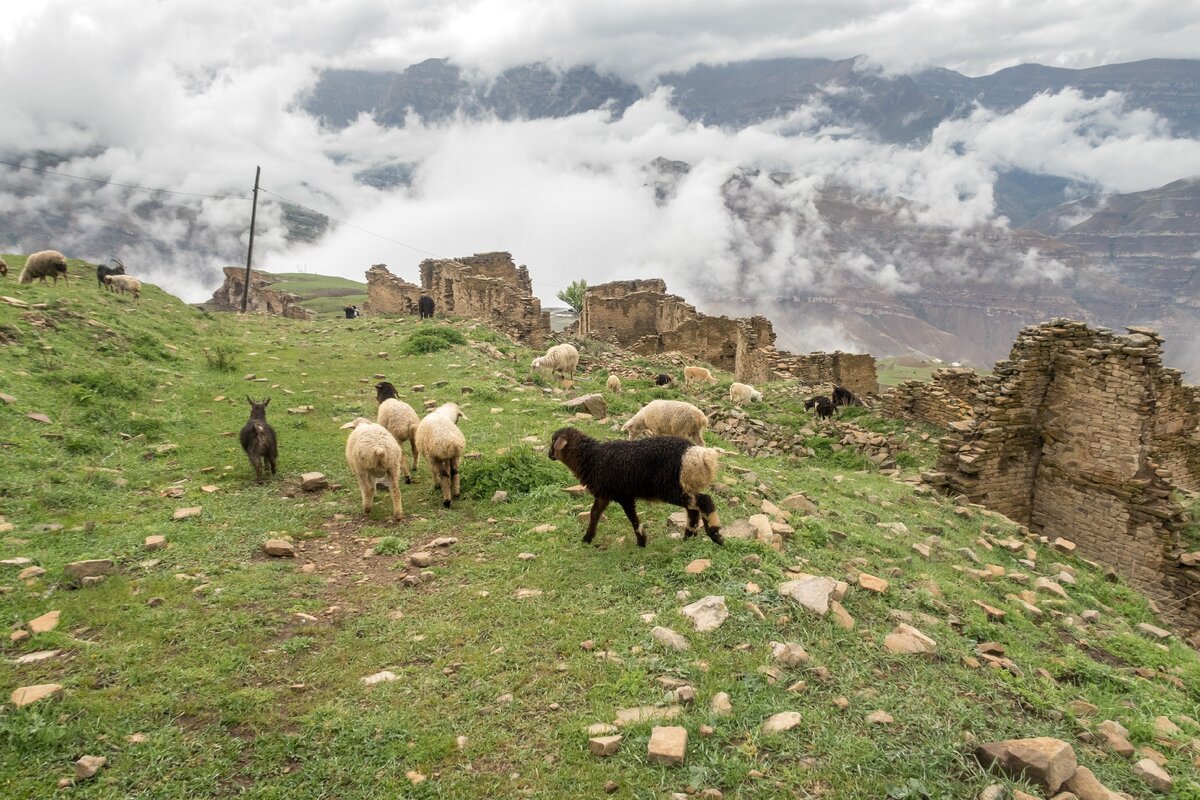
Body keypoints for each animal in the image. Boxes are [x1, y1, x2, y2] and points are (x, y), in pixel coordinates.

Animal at [547, 424, 720, 551]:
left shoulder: (624, 495)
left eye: (553, 441)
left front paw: (641, 541)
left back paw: (715, 534)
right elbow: (594, 514)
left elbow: (633, 519)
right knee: (693, 507)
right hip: (677, 486)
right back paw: (689, 536)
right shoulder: (604, 494)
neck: (592, 458)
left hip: (667, 487)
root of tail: (695, 454)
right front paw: (587, 538)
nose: (549, 455)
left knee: (703, 501)